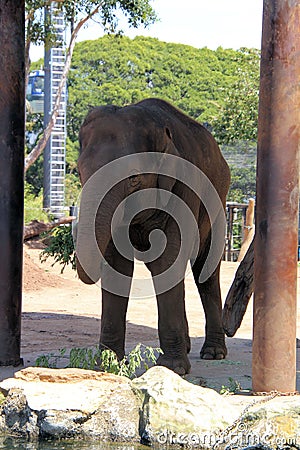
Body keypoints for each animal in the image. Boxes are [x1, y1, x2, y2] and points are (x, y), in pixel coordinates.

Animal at [75, 98, 230, 376]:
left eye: (134, 178)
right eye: (79, 172)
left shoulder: (182, 189)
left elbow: (167, 260)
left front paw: (172, 369)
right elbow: (118, 265)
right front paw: (107, 367)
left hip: (217, 204)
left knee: (206, 270)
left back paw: (213, 353)